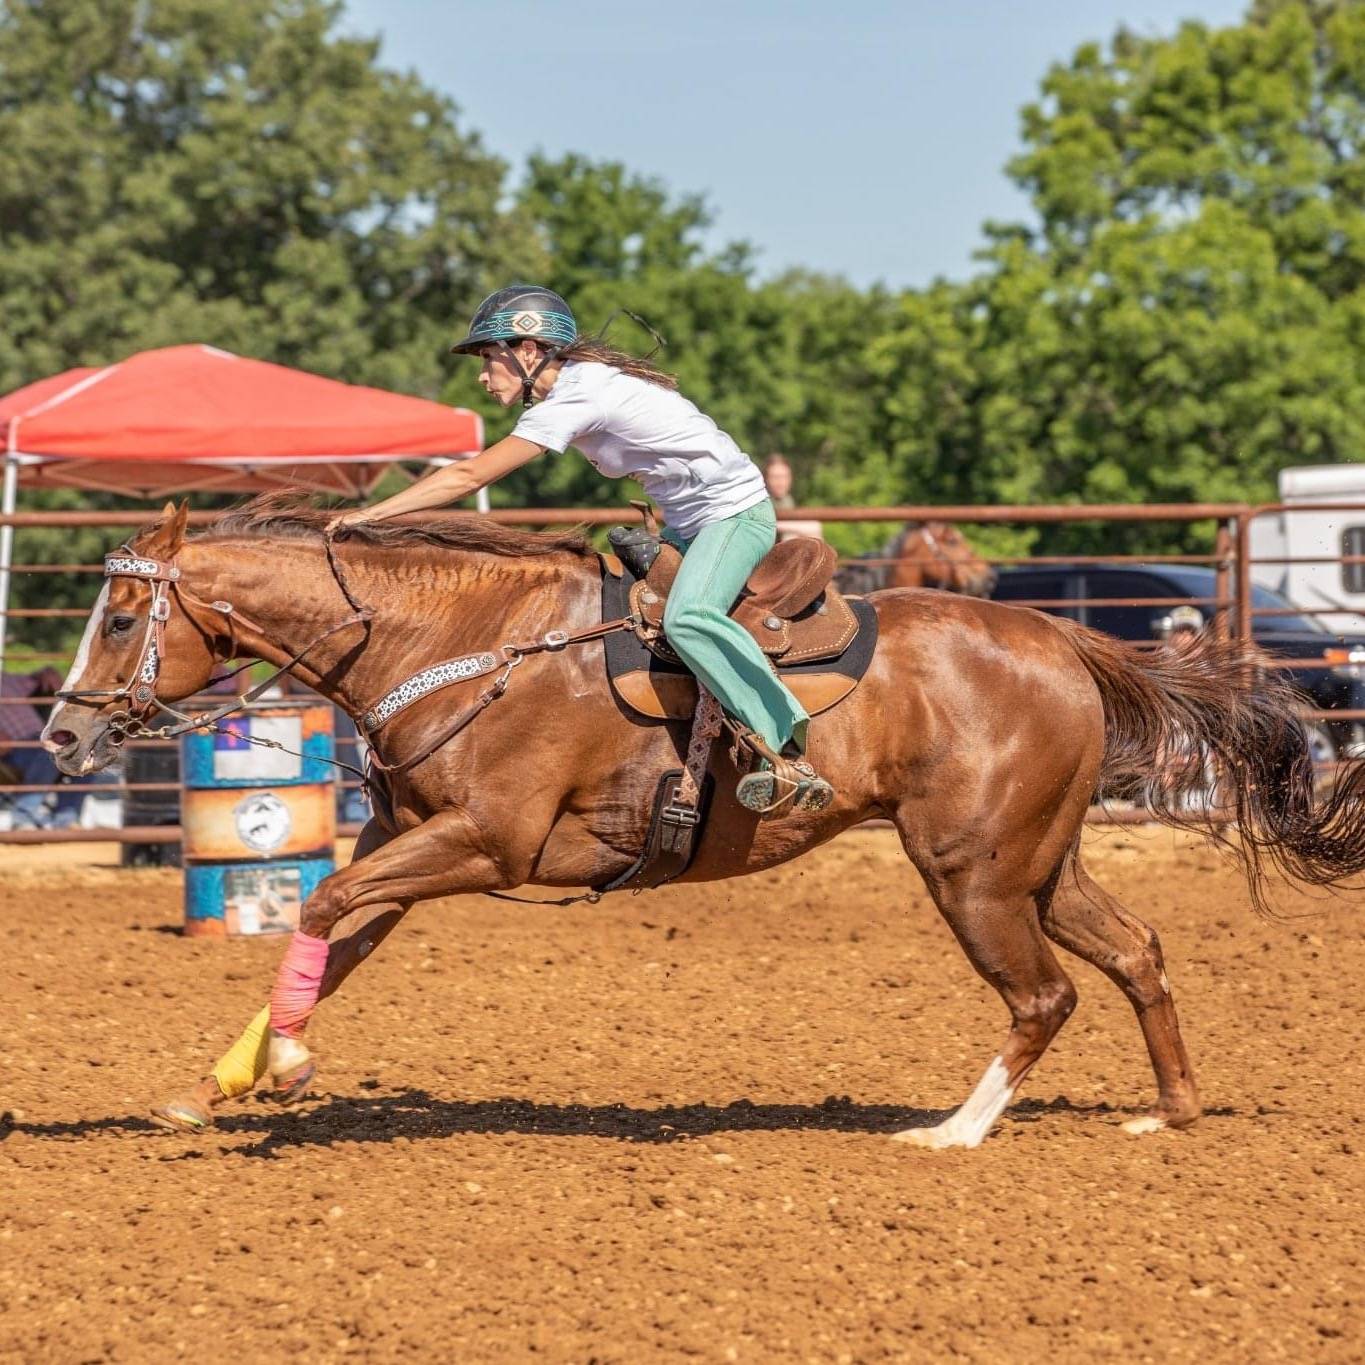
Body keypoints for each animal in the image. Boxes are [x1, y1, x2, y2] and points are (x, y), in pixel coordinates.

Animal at [39, 496, 1365, 1146]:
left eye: (121, 617)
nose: (57, 735)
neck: (460, 643)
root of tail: (1070, 641)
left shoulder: (484, 845)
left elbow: (316, 902)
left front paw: (287, 1070)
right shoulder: (396, 846)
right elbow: (334, 930)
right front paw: (223, 1083)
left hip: (972, 872)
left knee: (1043, 996)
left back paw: (949, 1135)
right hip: (1038, 862)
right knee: (1137, 952)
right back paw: (1171, 1111)